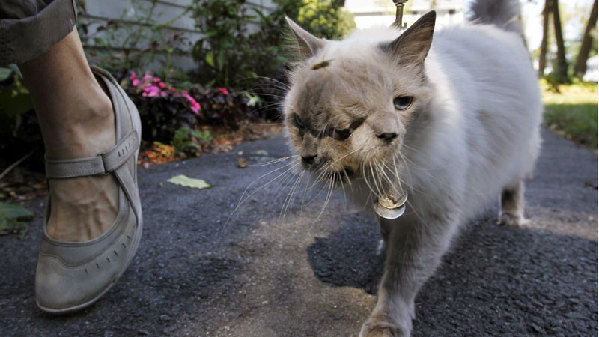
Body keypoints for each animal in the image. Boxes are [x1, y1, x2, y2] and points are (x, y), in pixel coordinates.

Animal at [284, 0, 540, 336]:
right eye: (335, 123)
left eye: (402, 103)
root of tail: (492, 28)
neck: (382, 173)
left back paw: (511, 219)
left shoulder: (430, 217)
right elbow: (386, 229)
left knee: (515, 184)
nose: (388, 135)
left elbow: (400, 277)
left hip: (520, 153)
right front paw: (384, 245)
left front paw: (385, 324)